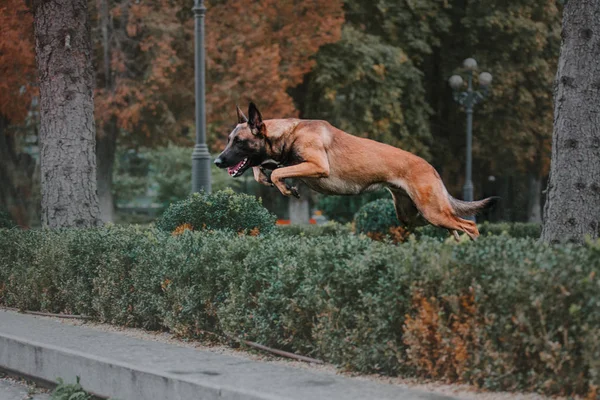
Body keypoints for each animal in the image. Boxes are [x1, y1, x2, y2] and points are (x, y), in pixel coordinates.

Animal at [213, 103, 494, 241]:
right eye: (228, 140)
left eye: (238, 142)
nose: (217, 161)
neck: (289, 132)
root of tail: (431, 168)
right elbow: (267, 170)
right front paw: (279, 182)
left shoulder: (317, 166)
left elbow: (275, 172)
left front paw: (283, 186)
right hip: (414, 216)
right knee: (455, 225)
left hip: (431, 211)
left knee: (470, 225)